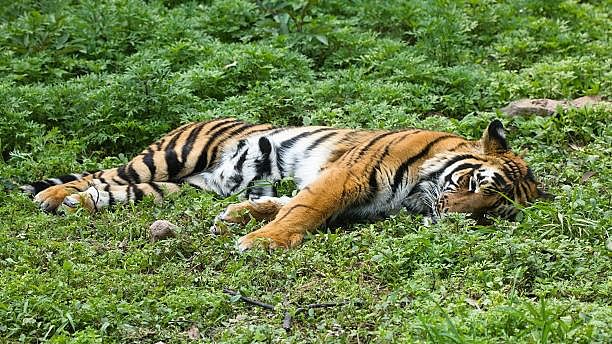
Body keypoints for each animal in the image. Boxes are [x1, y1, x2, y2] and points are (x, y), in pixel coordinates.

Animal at [21, 117, 548, 250]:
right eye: (480, 184)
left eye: (491, 214)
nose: (455, 219)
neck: (420, 192)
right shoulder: (347, 176)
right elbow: (303, 209)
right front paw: (261, 242)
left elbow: (284, 201)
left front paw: (239, 218)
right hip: (167, 160)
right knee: (102, 173)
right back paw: (50, 196)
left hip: (177, 187)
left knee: (110, 190)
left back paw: (74, 206)